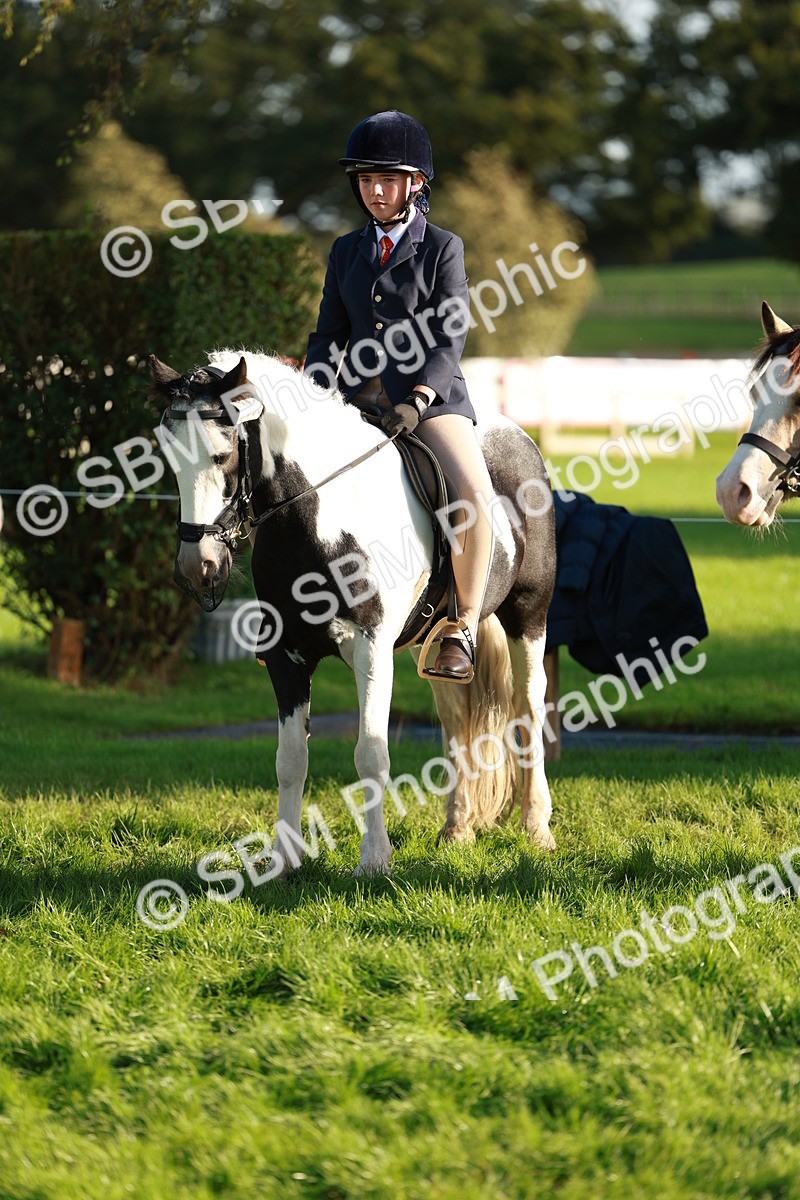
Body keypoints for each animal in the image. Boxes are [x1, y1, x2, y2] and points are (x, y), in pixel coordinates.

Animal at [150, 349, 556, 876]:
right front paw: (284, 861)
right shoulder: (285, 659)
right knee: (455, 719)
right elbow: (290, 759)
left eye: (223, 455)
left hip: (529, 614)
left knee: (528, 709)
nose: (196, 567)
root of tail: (517, 435)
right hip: (432, 641)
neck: (316, 517)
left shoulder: (370, 652)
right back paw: (457, 828)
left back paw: (537, 828)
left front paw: (374, 861)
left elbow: (371, 756)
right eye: (169, 459)